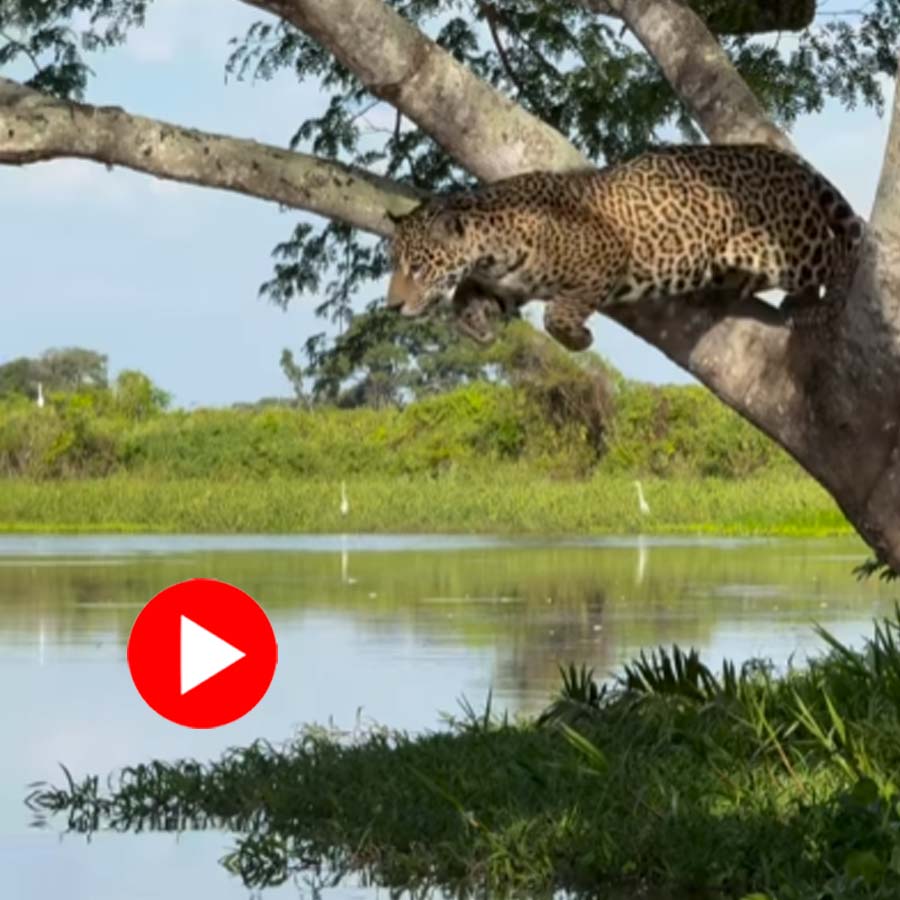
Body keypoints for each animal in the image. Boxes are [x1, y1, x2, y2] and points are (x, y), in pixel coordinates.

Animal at [386, 144, 865, 351]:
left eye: (417, 268)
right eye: (396, 266)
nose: (392, 307)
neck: (491, 246)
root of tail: (788, 159)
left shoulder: (606, 257)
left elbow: (557, 313)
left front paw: (578, 339)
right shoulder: (505, 282)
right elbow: (467, 297)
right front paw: (474, 324)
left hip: (786, 245)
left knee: (841, 252)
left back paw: (824, 305)